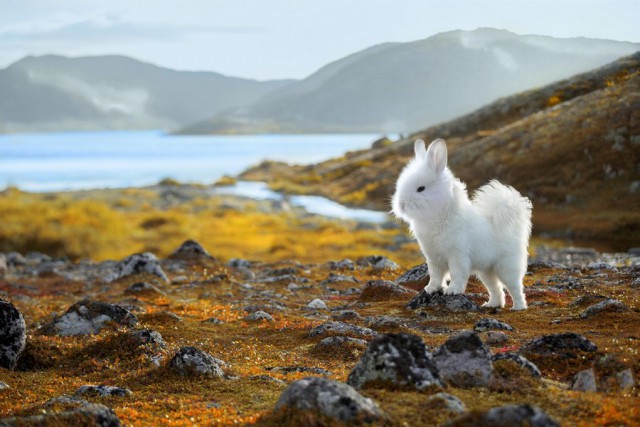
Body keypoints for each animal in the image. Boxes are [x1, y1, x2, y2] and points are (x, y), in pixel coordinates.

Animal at [392, 140, 532, 310]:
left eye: (421, 188)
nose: (401, 204)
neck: (441, 213)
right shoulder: (434, 259)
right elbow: (435, 276)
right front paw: (431, 289)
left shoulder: (457, 255)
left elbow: (456, 274)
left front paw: (452, 291)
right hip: (486, 271)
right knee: (496, 289)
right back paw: (491, 304)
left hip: (506, 267)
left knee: (515, 287)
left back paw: (518, 307)